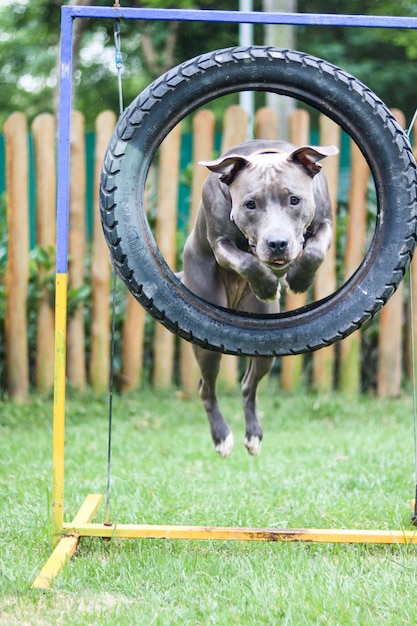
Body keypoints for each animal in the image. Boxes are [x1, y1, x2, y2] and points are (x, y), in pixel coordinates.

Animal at [180, 139, 336, 456]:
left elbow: (315, 250)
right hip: (207, 344)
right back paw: (222, 437)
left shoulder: (325, 220)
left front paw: (299, 279)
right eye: (249, 204)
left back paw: (253, 435)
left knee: (248, 385)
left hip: (267, 349)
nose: (277, 243)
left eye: (294, 200)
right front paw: (265, 285)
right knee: (206, 387)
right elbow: (247, 262)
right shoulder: (220, 245)